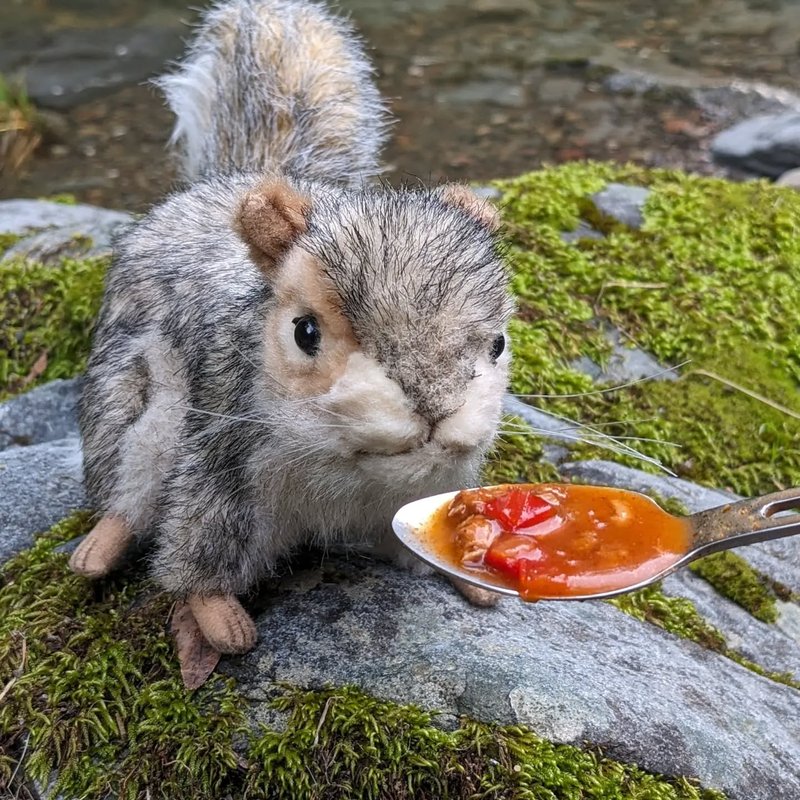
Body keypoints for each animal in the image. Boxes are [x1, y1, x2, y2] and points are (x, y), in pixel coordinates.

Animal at [70, 0, 514, 654]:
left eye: (499, 342)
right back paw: (101, 548)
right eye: (306, 333)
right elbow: (198, 556)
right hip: (131, 408)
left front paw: (467, 572)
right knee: (127, 486)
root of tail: (228, 182)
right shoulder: (221, 464)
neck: (348, 470)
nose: (435, 409)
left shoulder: (417, 496)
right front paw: (219, 619)